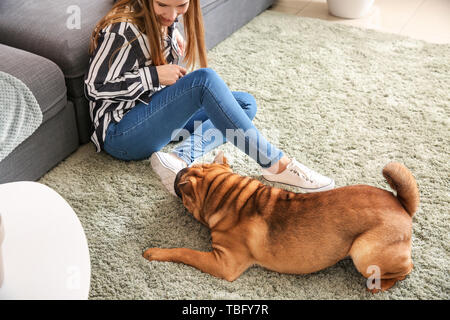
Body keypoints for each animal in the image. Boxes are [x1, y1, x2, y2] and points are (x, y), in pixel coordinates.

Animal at [143, 152, 418, 292]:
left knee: (406, 269)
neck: (228, 196)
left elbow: (184, 252)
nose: (178, 173)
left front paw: (155, 252)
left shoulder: (223, 263)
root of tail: (402, 205)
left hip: (364, 253)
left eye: (183, 185)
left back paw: (379, 284)